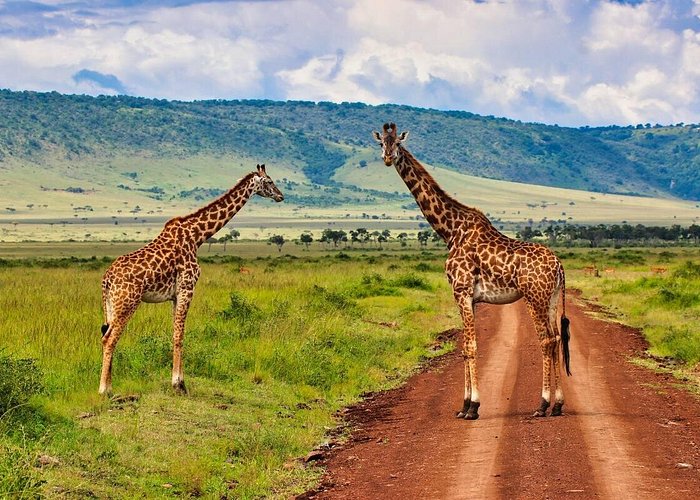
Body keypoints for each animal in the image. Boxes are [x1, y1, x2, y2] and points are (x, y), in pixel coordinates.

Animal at [98, 164, 284, 395]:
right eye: (269, 181)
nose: (281, 196)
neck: (197, 236)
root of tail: (107, 279)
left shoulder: (175, 295)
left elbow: (175, 333)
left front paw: (178, 381)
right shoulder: (187, 288)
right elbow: (180, 335)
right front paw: (179, 385)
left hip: (111, 304)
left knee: (105, 336)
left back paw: (109, 385)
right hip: (127, 302)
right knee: (109, 339)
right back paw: (104, 390)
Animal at [373, 123, 571, 420]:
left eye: (397, 142)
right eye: (380, 143)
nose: (387, 158)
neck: (450, 230)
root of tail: (559, 266)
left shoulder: (461, 291)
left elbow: (470, 346)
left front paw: (473, 407)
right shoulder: (471, 298)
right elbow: (466, 348)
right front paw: (464, 406)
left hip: (534, 297)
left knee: (546, 340)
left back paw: (543, 404)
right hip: (552, 298)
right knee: (557, 339)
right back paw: (558, 405)